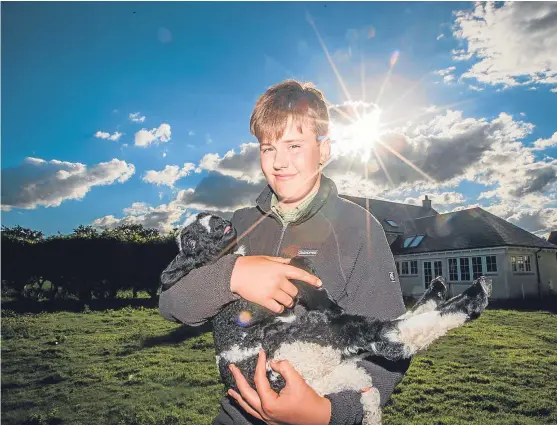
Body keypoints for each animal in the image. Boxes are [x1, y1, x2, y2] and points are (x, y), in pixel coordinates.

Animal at [161, 212, 490, 424]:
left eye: (205, 216)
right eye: (190, 241)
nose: (219, 222)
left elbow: (300, 266)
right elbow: (299, 271)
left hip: (334, 368)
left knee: (368, 376)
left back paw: (438, 290)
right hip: (320, 336)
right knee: (391, 337)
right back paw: (472, 295)